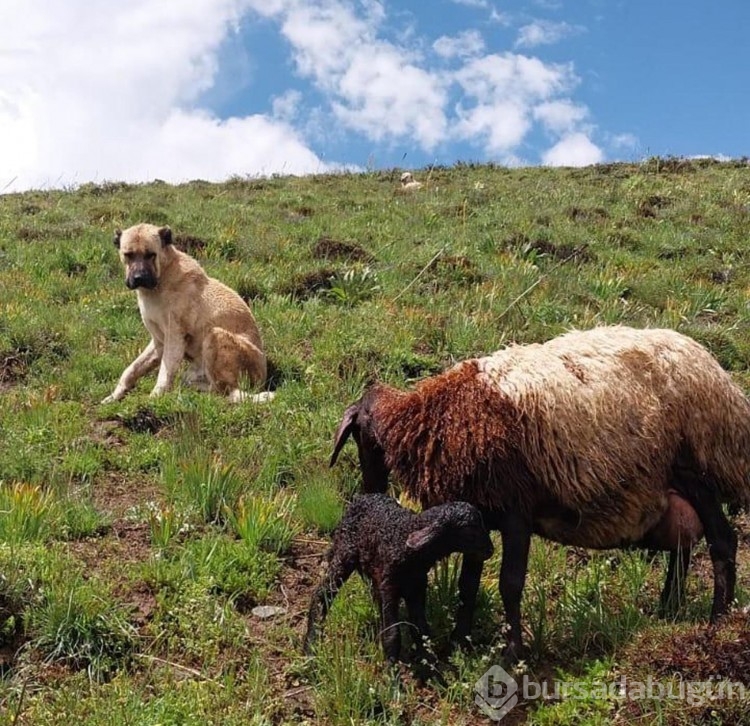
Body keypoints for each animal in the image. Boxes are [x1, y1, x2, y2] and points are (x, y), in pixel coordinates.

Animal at [103, 223, 272, 404]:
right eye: (128, 255)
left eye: (151, 255)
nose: (139, 277)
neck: (162, 279)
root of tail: (263, 377)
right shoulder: (158, 342)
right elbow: (131, 370)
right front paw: (115, 394)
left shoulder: (175, 339)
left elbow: (164, 374)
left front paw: (154, 398)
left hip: (215, 334)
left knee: (229, 392)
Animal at [302, 494, 496, 672]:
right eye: (469, 530)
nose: (490, 550)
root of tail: (361, 497)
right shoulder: (390, 586)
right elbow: (392, 635)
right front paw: (393, 677)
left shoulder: (417, 589)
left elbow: (421, 631)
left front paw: (431, 669)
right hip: (345, 553)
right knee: (322, 594)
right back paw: (310, 647)